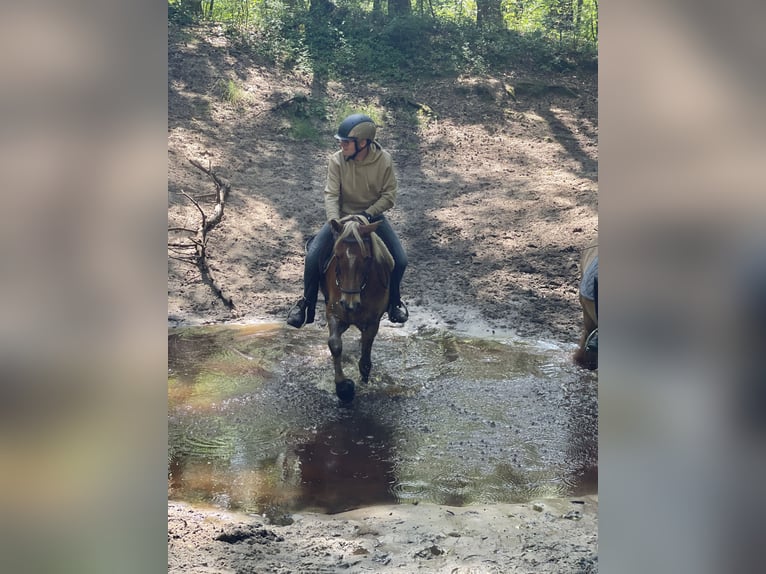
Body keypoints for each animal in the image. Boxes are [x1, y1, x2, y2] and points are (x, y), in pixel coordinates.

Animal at [320, 218, 394, 402]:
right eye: (337, 256)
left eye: (366, 258)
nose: (349, 303)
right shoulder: (333, 313)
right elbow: (335, 344)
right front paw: (343, 387)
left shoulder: (373, 321)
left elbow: (365, 357)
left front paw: (363, 382)